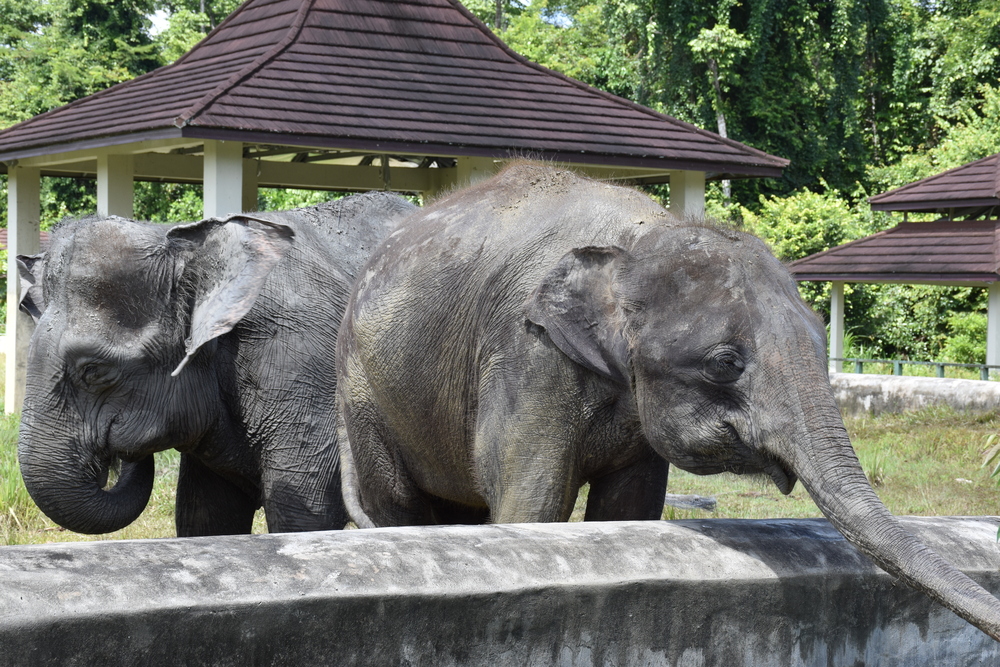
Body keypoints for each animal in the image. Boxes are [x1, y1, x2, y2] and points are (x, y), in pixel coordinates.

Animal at [19, 192, 418, 536]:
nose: (117, 453)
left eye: (94, 371)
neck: (183, 242)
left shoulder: (303, 365)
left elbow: (303, 512)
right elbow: (205, 516)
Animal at [334, 163, 1000, 640]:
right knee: (395, 504)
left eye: (820, 336)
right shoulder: (527, 353)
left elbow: (628, 509)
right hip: (364, 392)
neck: (641, 235)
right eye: (725, 363)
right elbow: (532, 502)